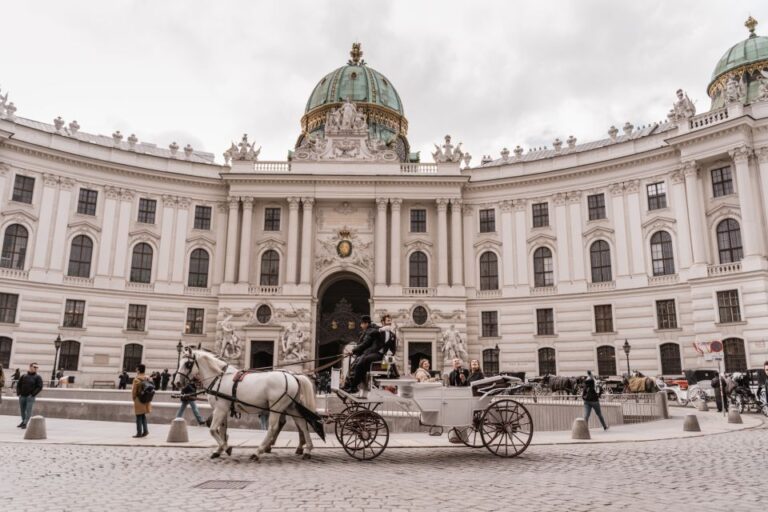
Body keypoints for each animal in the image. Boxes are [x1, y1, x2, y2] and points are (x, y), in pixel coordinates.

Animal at [172, 348, 320, 460]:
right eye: (180, 362)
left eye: (188, 364)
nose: (177, 383)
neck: (220, 377)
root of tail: (294, 376)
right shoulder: (224, 409)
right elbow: (222, 430)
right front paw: (219, 450)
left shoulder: (220, 409)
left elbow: (213, 429)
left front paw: (227, 448)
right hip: (291, 407)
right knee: (302, 424)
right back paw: (307, 449)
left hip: (276, 406)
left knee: (273, 428)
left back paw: (258, 451)